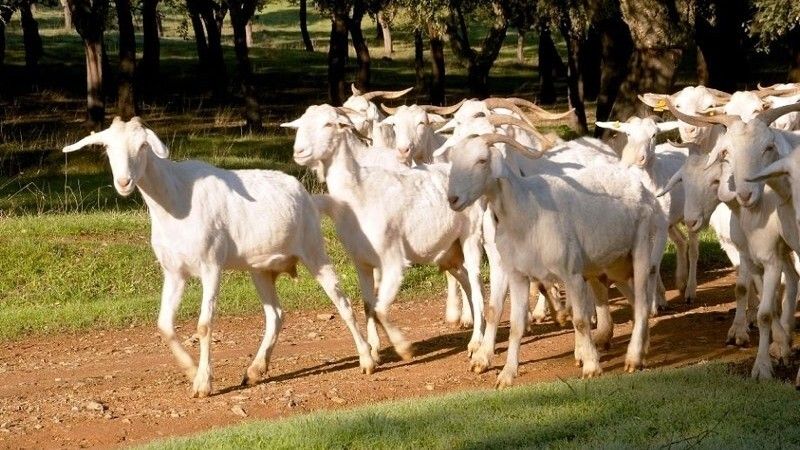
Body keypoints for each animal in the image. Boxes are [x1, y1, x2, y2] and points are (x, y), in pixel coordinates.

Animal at [62, 117, 376, 398]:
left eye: (142, 146)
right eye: (107, 148)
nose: (124, 181)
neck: (176, 198)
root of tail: (305, 193)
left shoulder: (211, 265)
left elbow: (204, 324)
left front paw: (203, 384)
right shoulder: (174, 272)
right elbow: (164, 325)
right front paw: (191, 370)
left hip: (313, 248)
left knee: (341, 300)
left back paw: (367, 360)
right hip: (260, 269)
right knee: (275, 314)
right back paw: (254, 371)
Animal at [282, 107, 488, 364]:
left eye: (329, 124)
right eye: (300, 125)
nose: (299, 152)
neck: (359, 194)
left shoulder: (393, 261)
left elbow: (380, 309)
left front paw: (403, 347)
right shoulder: (361, 262)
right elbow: (368, 305)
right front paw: (373, 353)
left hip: (471, 237)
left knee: (477, 283)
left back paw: (476, 343)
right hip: (448, 250)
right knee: (466, 280)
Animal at [446, 134, 664, 386]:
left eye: (482, 160)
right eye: (453, 160)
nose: (453, 199)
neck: (526, 212)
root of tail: (640, 187)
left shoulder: (571, 273)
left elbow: (580, 320)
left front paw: (591, 366)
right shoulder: (517, 274)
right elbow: (515, 325)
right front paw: (506, 374)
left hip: (641, 247)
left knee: (642, 302)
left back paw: (633, 358)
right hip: (612, 263)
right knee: (635, 301)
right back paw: (641, 348)